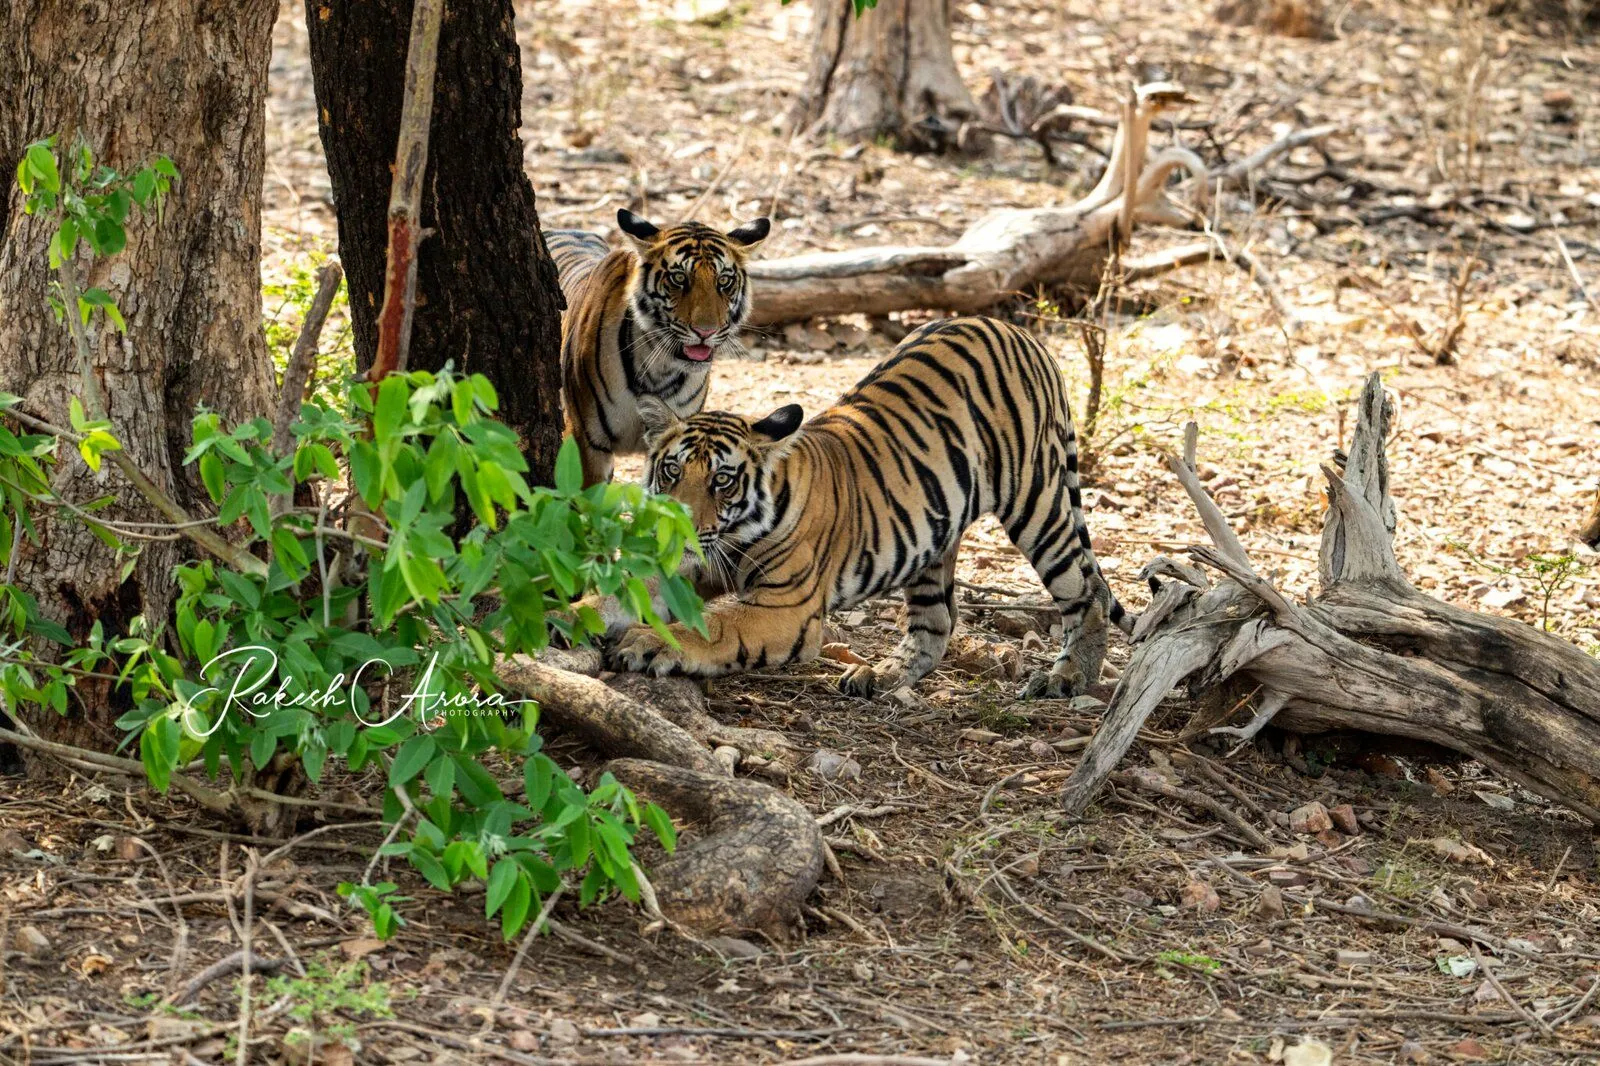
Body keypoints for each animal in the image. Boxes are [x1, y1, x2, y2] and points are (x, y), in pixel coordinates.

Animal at [609, 315, 1137, 699]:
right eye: (672, 471)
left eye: (721, 479)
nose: (676, 527)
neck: (739, 532)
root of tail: (1020, 332)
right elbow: (634, 588)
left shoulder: (785, 608)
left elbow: (713, 627)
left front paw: (646, 643)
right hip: (934, 531)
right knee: (936, 619)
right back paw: (881, 675)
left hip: (1036, 501)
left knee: (1088, 590)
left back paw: (1069, 677)